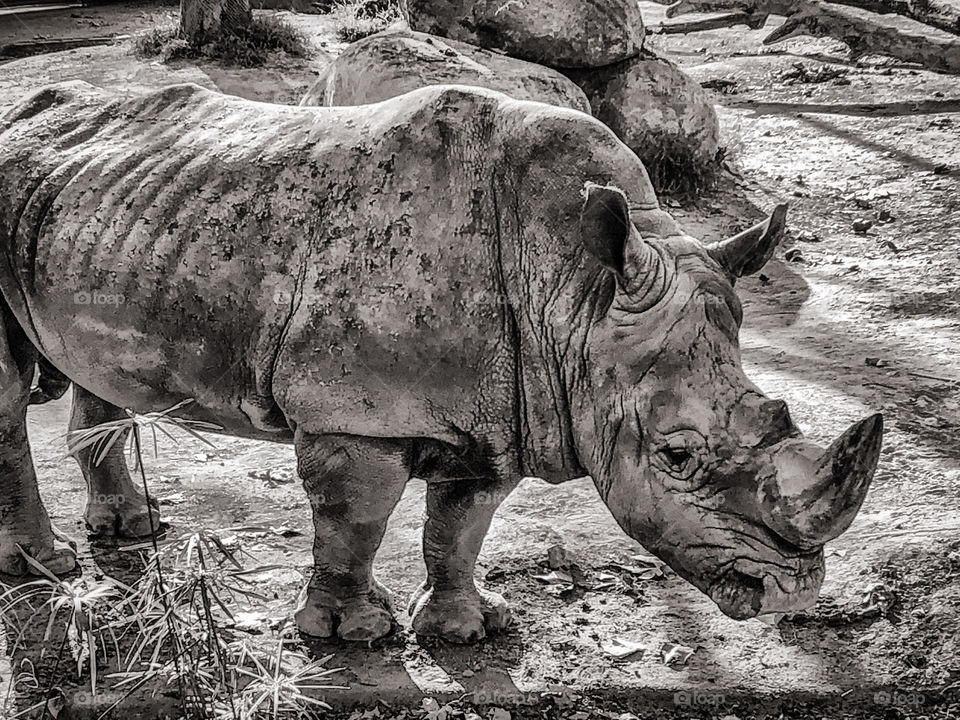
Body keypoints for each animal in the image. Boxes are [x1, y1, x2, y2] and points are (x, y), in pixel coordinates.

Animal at [0, 81, 882, 643]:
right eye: (677, 457)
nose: (793, 591)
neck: (574, 292)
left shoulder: (507, 406)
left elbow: (460, 524)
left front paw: (468, 630)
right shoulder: (353, 411)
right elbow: (356, 520)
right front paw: (349, 635)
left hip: (100, 213)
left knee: (91, 370)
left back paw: (131, 531)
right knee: (9, 393)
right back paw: (45, 568)